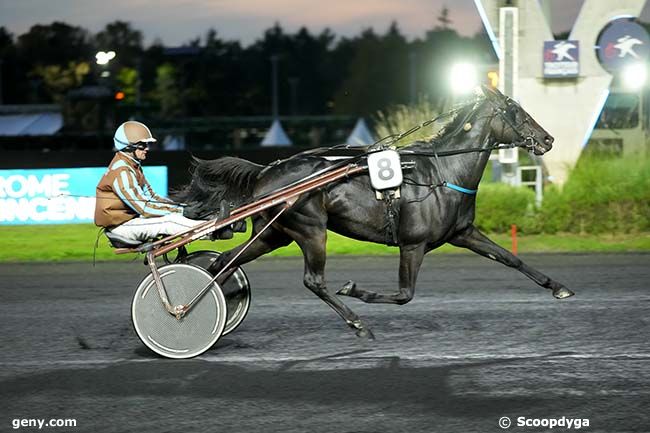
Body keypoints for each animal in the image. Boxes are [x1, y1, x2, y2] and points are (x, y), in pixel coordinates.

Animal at [176, 86, 572, 340]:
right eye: (516, 112)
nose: (548, 139)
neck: (443, 172)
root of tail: (265, 171)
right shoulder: (413, 244)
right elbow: (404, 294)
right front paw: (356, 291)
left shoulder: (463, 232)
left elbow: (509, 258)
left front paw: (559, 287)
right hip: (310, 230)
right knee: (313, 281)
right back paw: (357, 324)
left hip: (274, 234)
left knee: (224, 262)